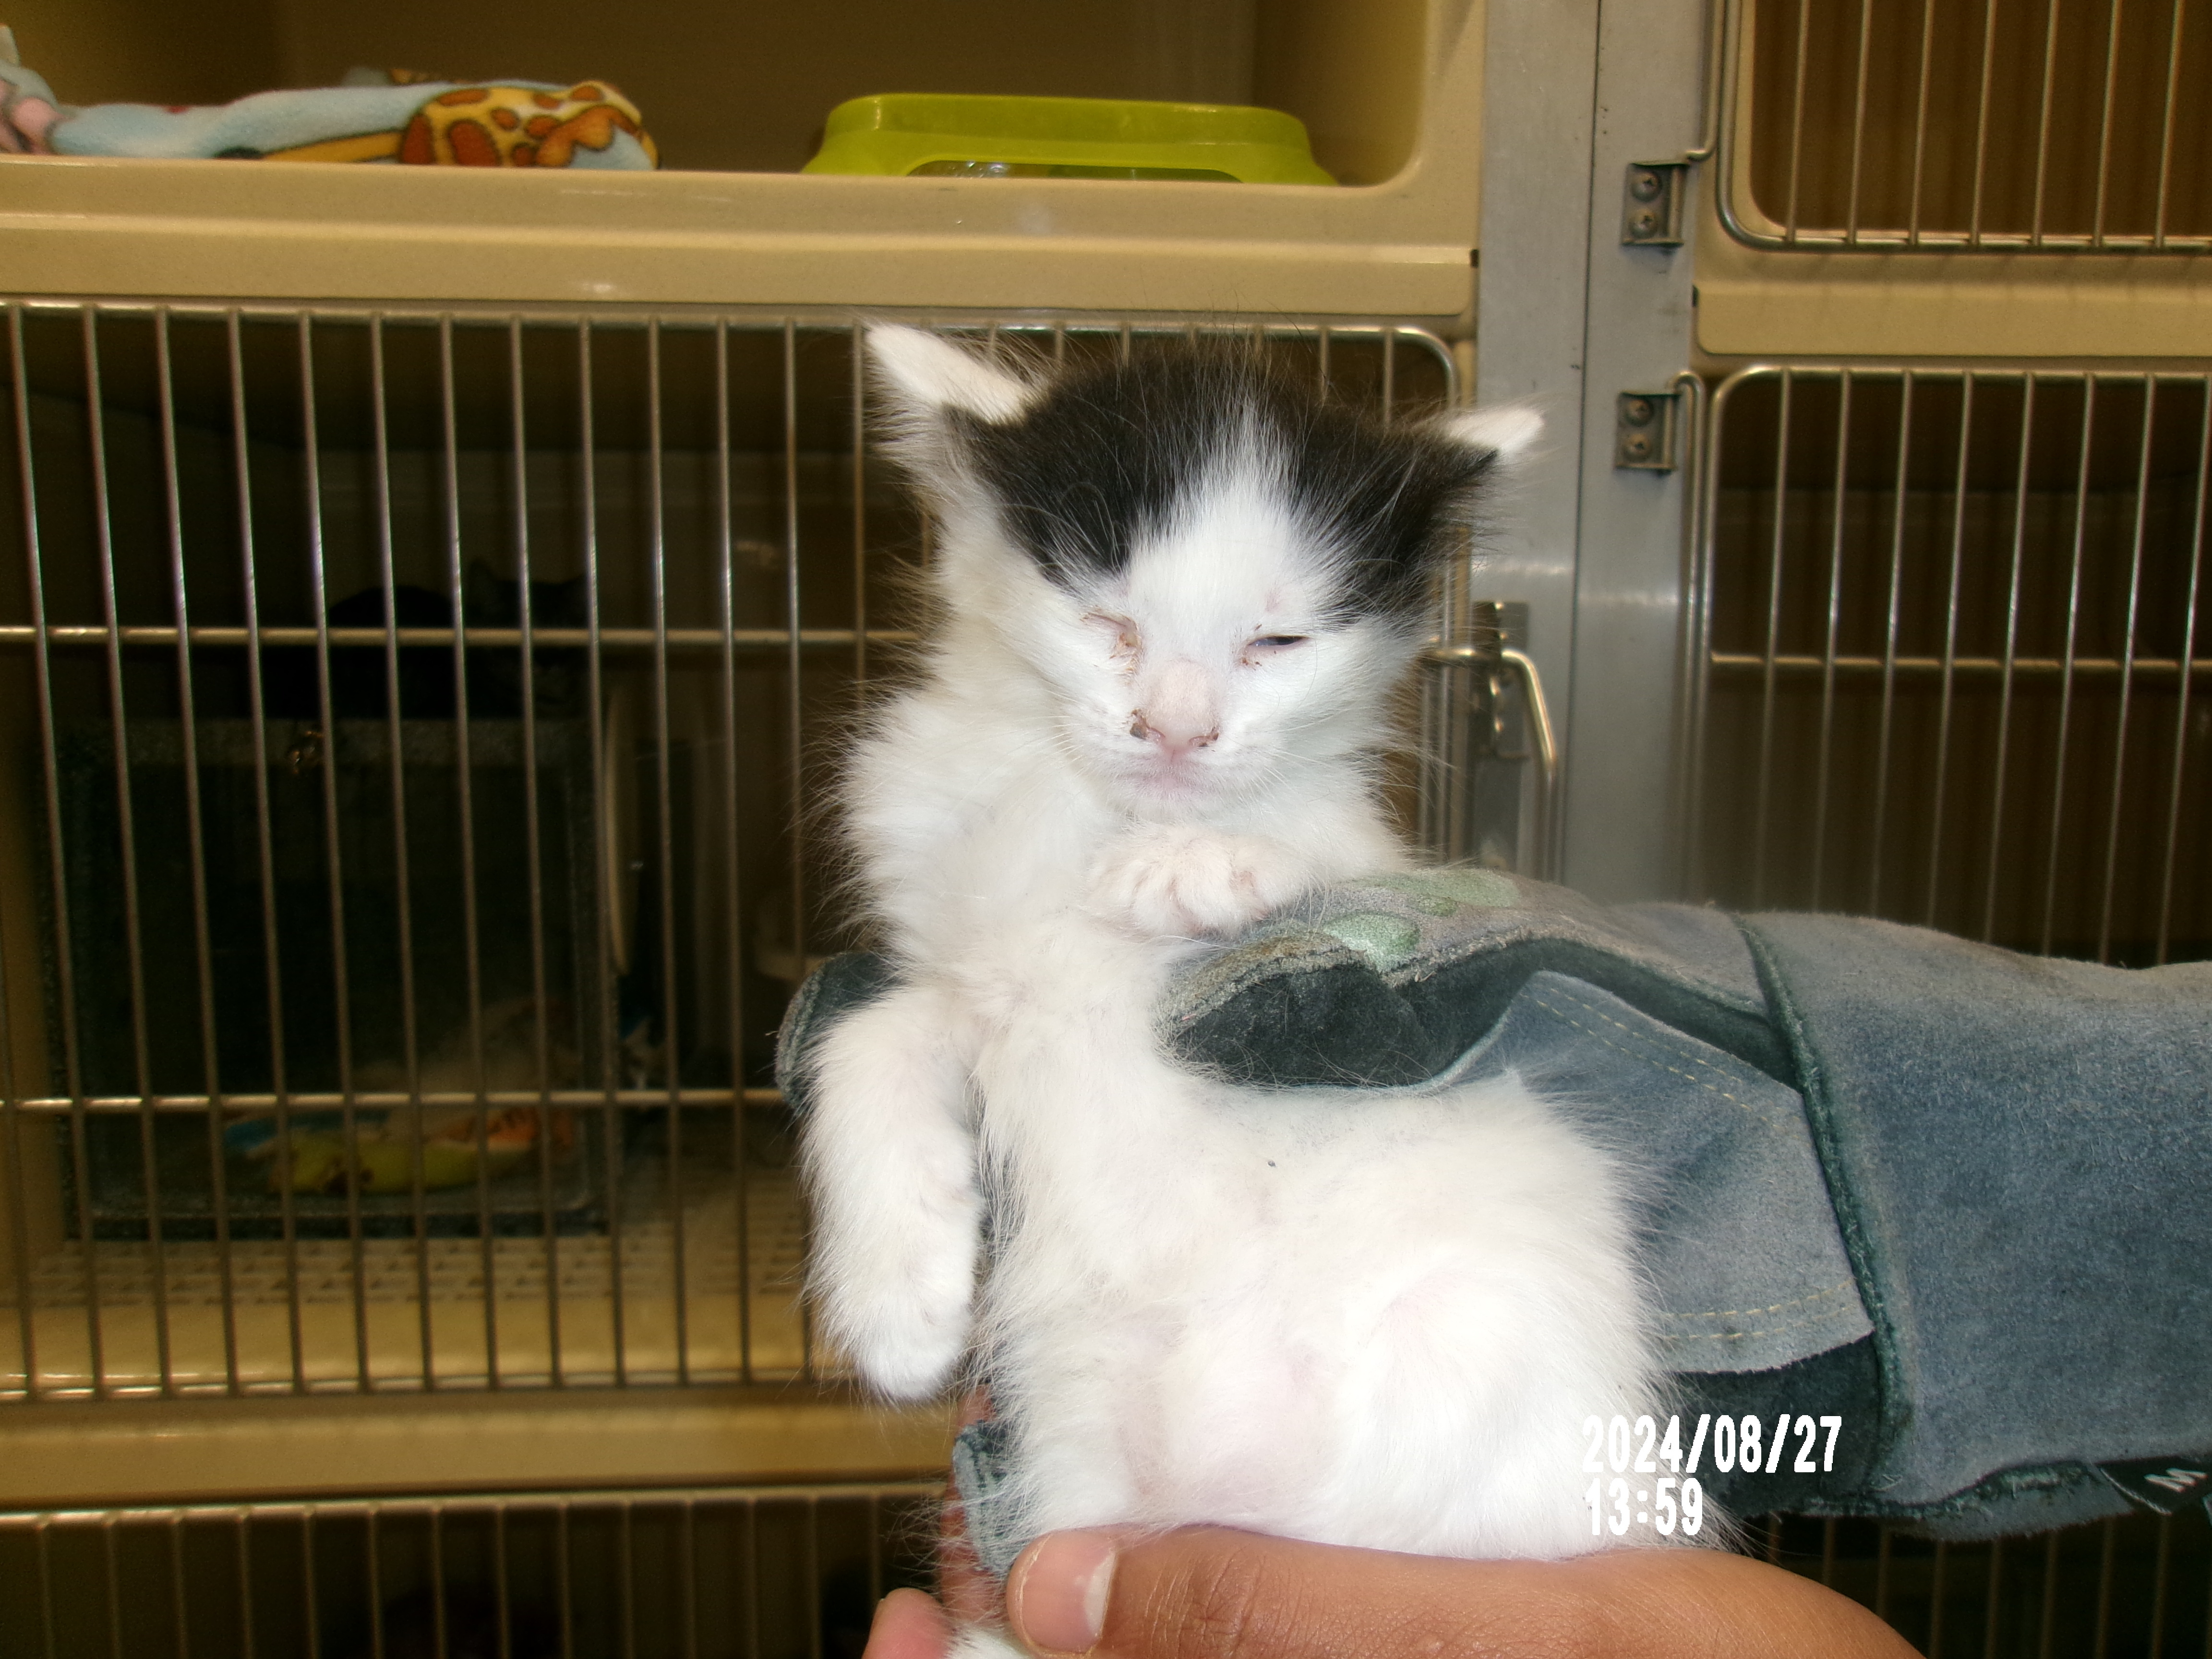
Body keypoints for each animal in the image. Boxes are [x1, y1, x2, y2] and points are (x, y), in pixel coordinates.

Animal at [801, 332, 1663, 1628]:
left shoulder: (1367, 869)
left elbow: (1348, 861)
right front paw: (899, 1299)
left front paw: (1200, 862)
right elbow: (864, 1039)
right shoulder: (970, 972)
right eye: (1107, 623)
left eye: (1277, 643)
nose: (1176, 730)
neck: (1079, 814)